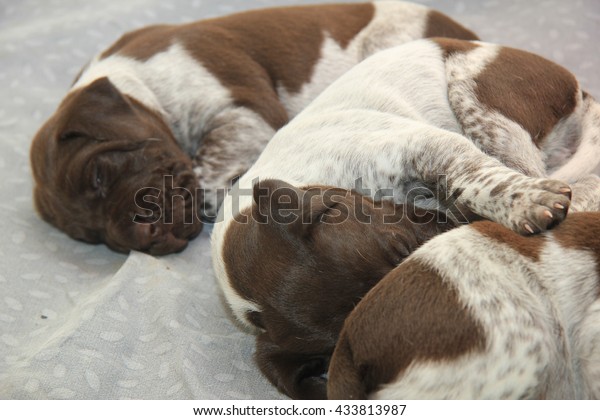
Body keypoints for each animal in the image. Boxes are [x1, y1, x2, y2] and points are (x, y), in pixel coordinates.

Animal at [29, 1, 478, 254]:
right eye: (92, 236)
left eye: (99, 175)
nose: (143, 238)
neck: (135, 77)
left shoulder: (249, 110)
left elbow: (210, 170)